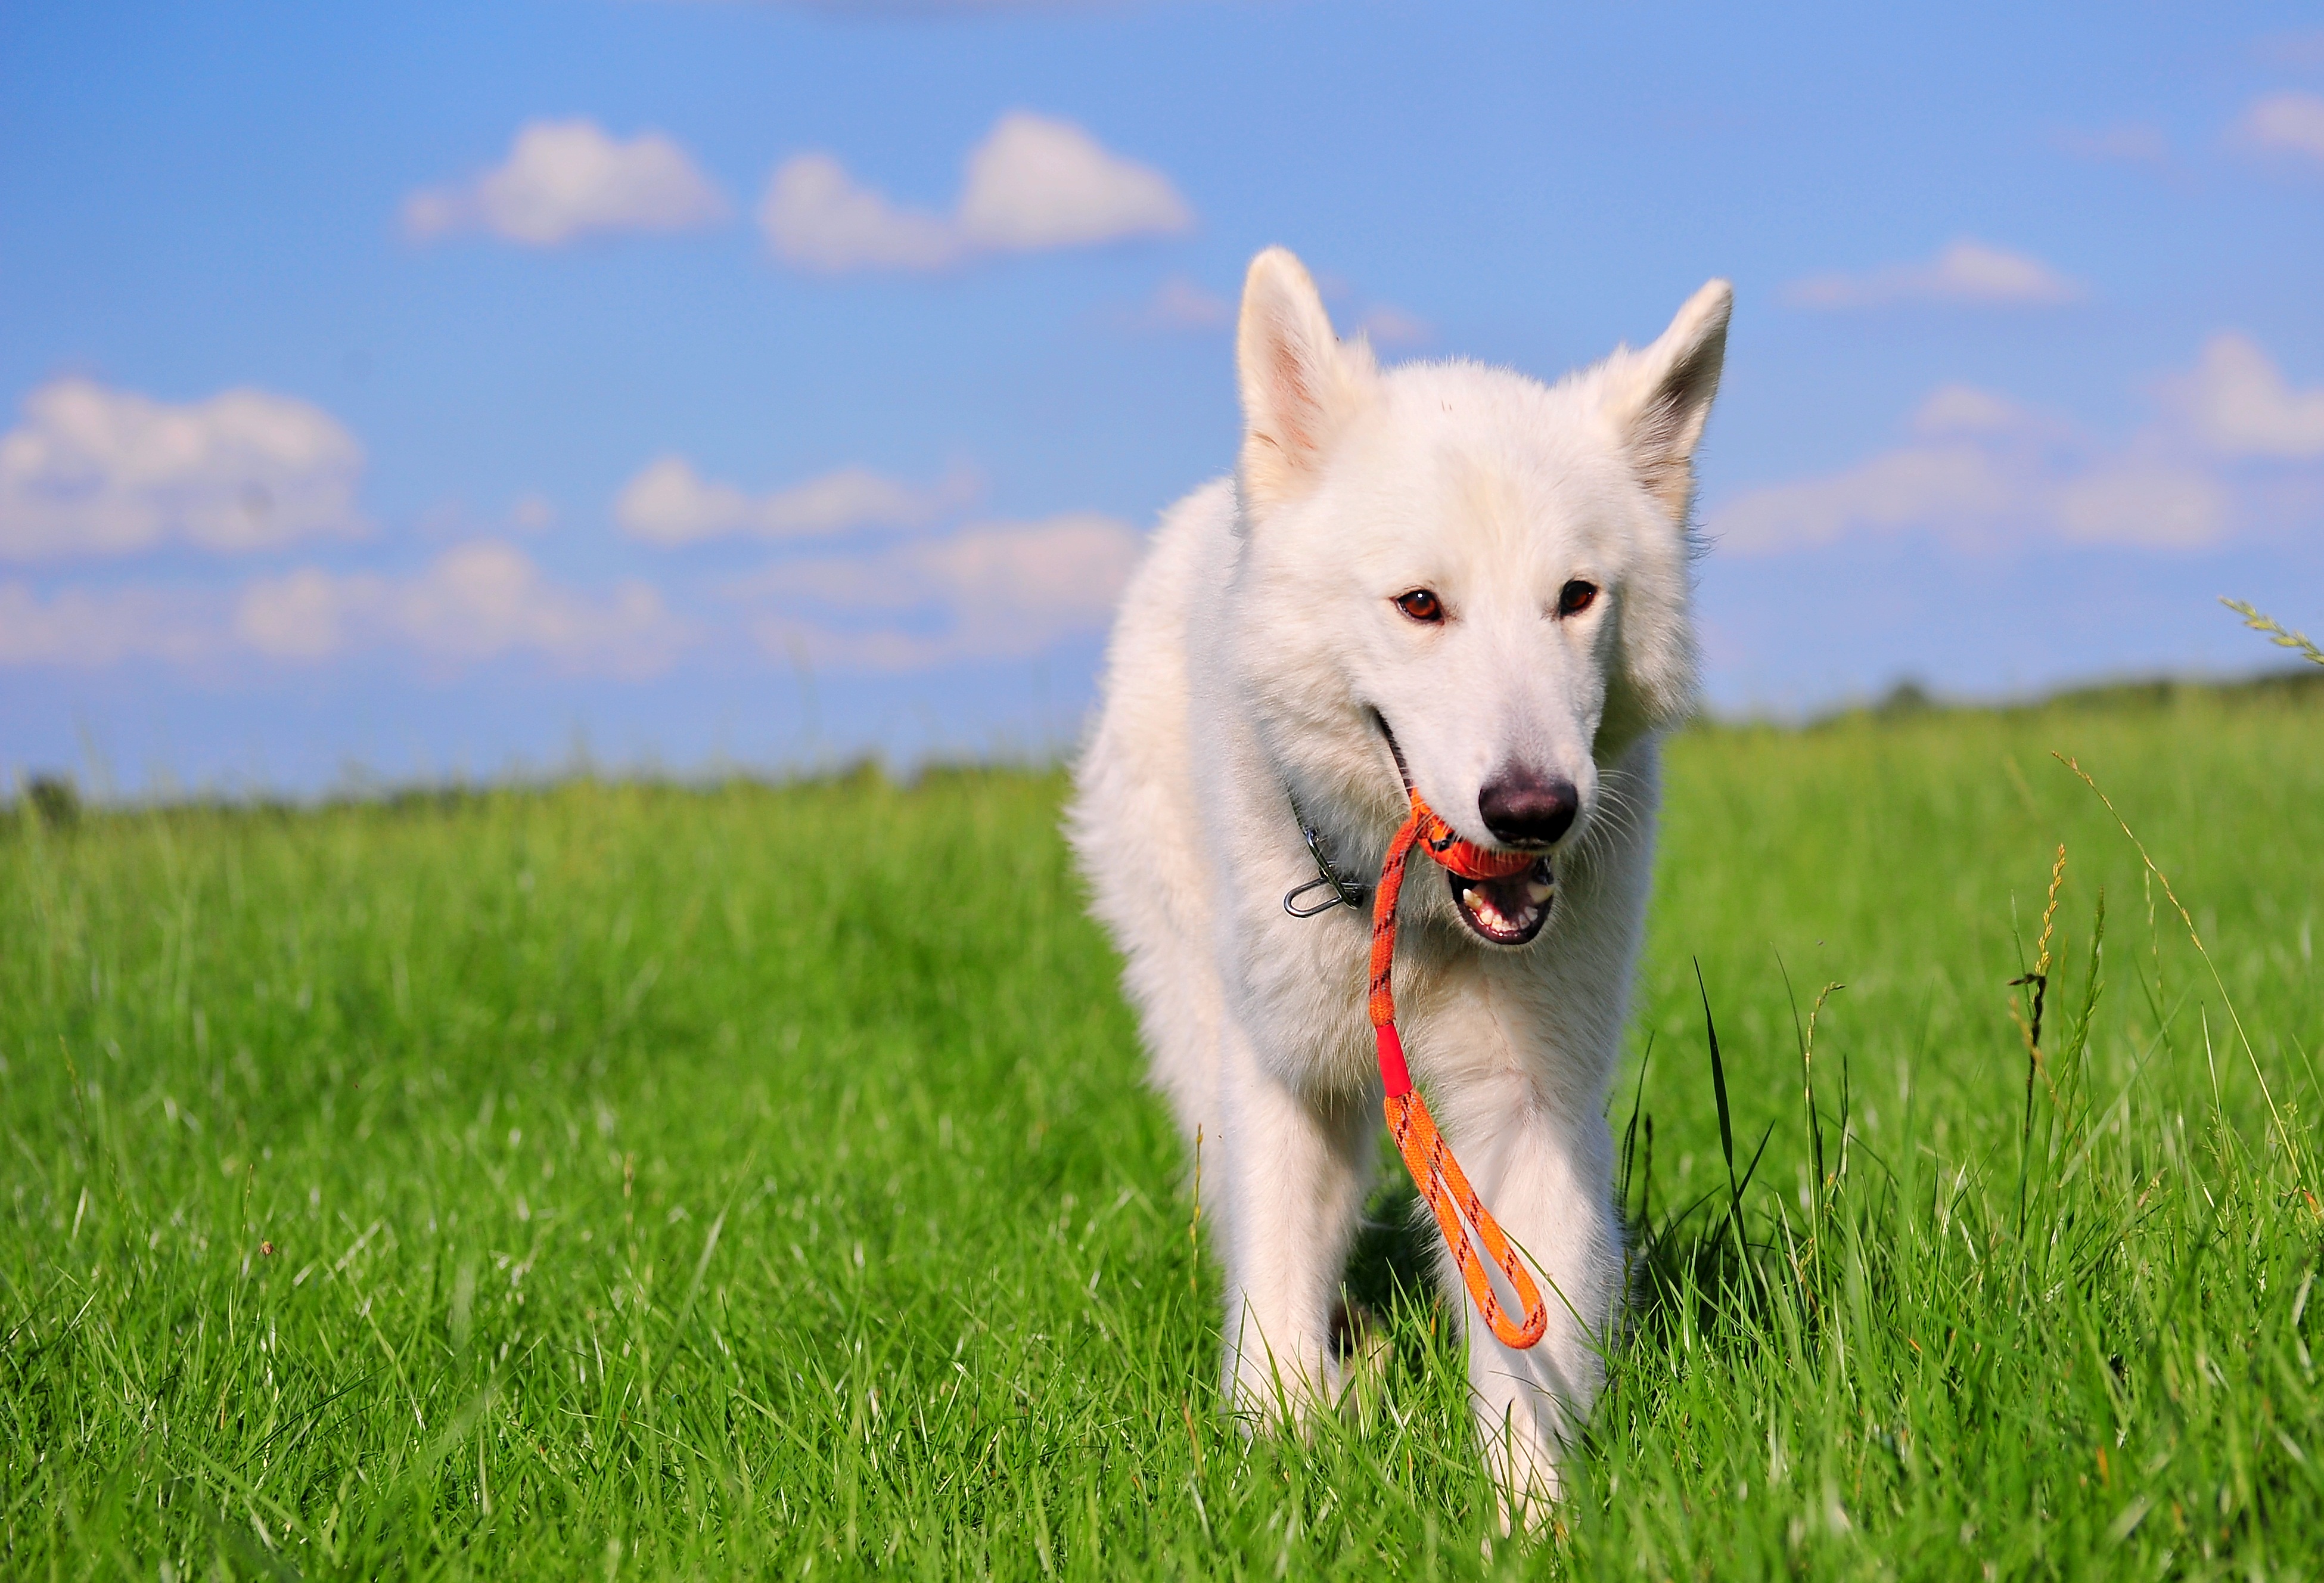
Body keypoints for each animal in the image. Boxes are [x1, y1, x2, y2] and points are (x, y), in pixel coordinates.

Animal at [1069, 244, 1729, 1506]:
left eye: (1576, 597)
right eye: (1422, 604)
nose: (1534, 808)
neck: (1418, 921)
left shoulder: (1527, 1109)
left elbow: (1527, 1344)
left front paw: (1531, 1516)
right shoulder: (1283, 1084)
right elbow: (1274, 1308)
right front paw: (1286, 1458)